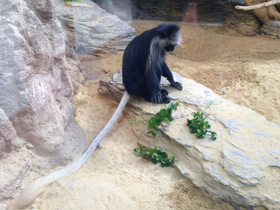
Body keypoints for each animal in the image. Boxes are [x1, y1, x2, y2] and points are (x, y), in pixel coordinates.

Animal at [13, 23, 183, 209]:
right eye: (171, 44)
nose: (173, 49)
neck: (159, 37)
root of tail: (129, 87)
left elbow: (163, 64)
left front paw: (173, 81)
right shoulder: (154, 46)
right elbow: (153, 68)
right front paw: (156, 93)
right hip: (139, 86)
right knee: (153, 71)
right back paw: (156, 95)